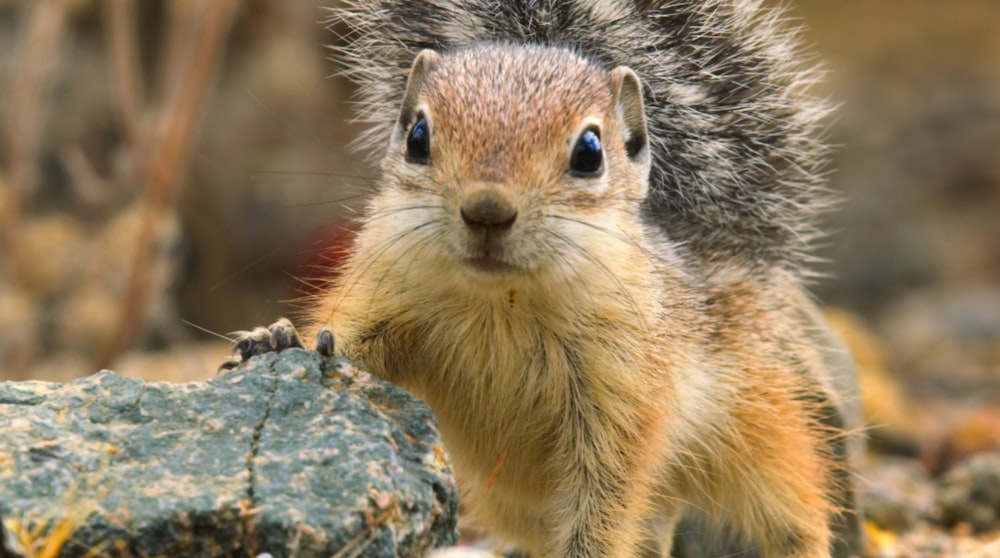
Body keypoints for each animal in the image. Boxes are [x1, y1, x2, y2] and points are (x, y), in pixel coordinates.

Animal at [225, 1, 860, 558]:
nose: (486, 209)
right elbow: (351, 347)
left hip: (771, 446)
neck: (498, 302)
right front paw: (282, 337)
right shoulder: (385, 298)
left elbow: (606, 498)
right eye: (417, 137)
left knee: (790, 523)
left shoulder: (624, 395)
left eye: (590, 151)